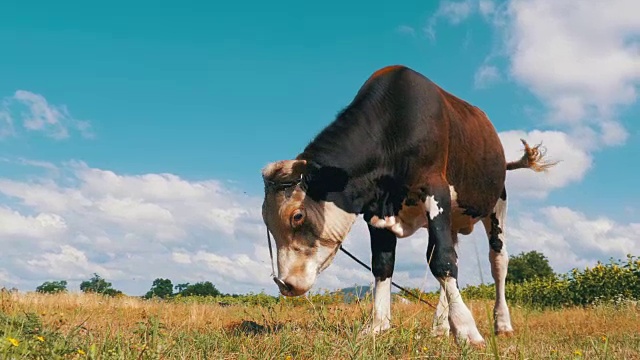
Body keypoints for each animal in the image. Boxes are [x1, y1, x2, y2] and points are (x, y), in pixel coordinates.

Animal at [260, 64, 556, 346]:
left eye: (297, 216)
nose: (285, 284)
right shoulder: (376, 209)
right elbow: (384, 264)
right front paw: (378, 326)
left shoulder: (436, 189)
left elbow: (442, 261)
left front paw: (467, 329)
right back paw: (439, 326)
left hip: (496, 204)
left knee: (497, 261)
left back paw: (502, 324)